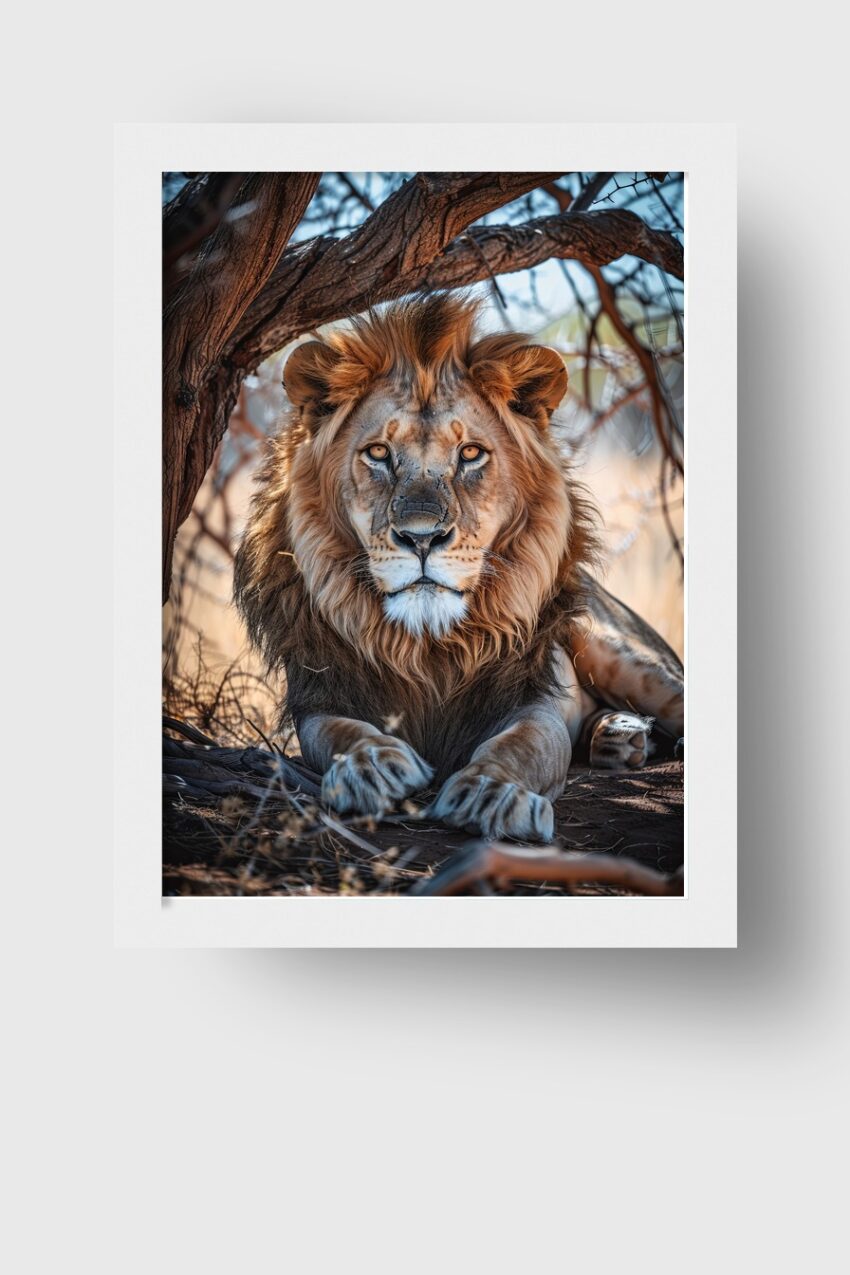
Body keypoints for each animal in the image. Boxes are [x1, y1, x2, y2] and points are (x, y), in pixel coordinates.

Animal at [234, 293, 684, 843]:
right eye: (378, 453)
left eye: (470, 453)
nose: (422, 538)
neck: (426, 645)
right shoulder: (322, 697)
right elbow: (341, 733)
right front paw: (371, 766)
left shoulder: (531, 698)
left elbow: (521, 744)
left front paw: (492, 795)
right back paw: (618, 737)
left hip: (619, 651)